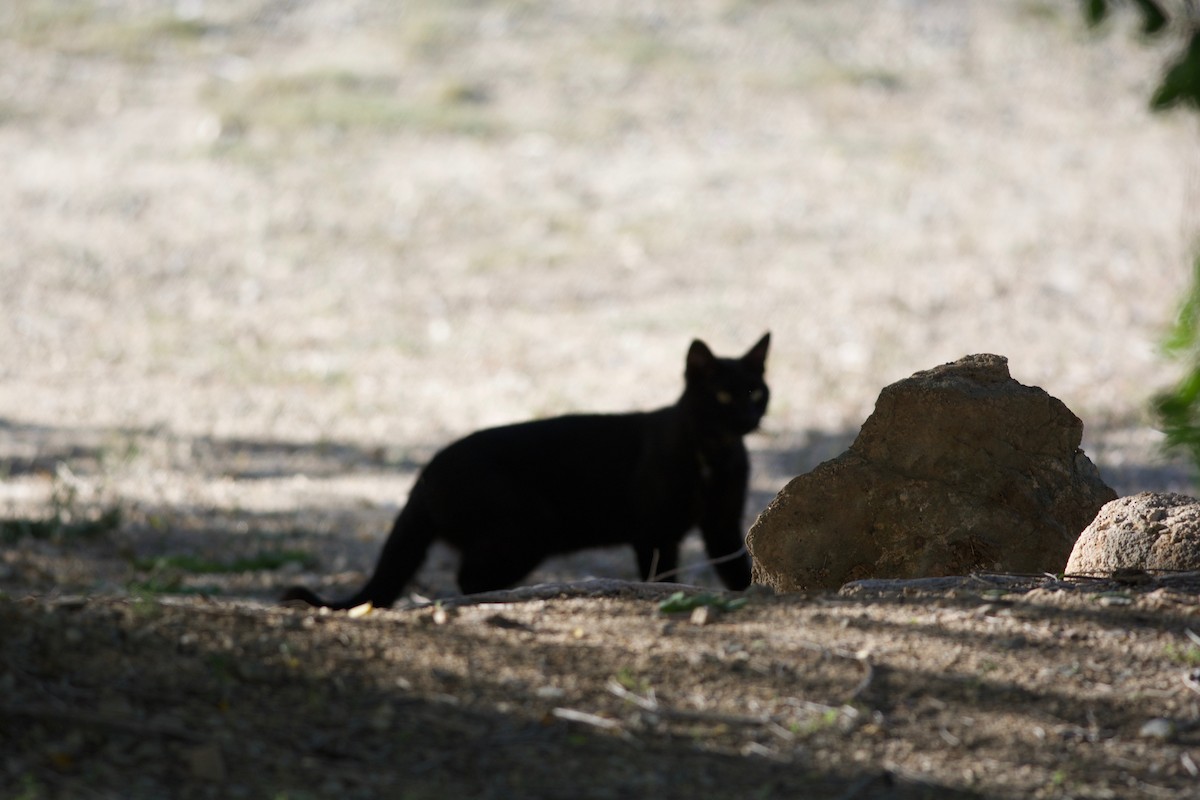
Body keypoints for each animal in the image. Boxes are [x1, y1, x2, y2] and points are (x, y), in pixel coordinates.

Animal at [280, 335, 768, 609]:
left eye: (756, 392)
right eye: (724, 396)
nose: (748, 416)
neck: (715, 456)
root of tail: (425, 473)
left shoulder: (722, 524)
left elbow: (738, 568)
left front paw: (747, 595)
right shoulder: (655, 533)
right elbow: (662, 575)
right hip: (528, 528)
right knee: (468, 577)